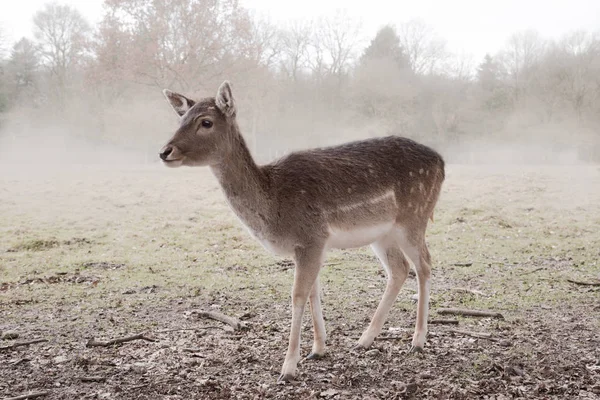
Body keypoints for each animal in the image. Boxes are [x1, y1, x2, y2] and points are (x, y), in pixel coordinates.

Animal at [159, 80, 446, 382]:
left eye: (206, 122)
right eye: (181, 119)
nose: (165, 151)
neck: (274, 206)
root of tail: (441, 162)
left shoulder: (311, 237)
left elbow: (298, 294)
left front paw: (288, 367)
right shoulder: (313, 245)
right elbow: (313, 292)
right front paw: (318, 349)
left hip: (414, 216)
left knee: (424, 264)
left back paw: (417, 341)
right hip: (383, 234)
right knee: (399, 269)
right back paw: (364, 340)